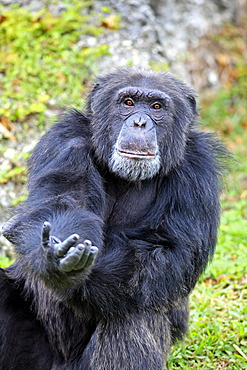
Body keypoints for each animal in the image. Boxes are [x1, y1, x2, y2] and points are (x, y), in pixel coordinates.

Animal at [0, 68, 228, 368]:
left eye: (156, 107)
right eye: (128, 103)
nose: (140, 122)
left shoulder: (198, 169)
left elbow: (168, 252)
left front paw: (74, 271)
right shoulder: (63, 140)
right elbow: (58, 203)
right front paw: (55, 260)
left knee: (133, 313)